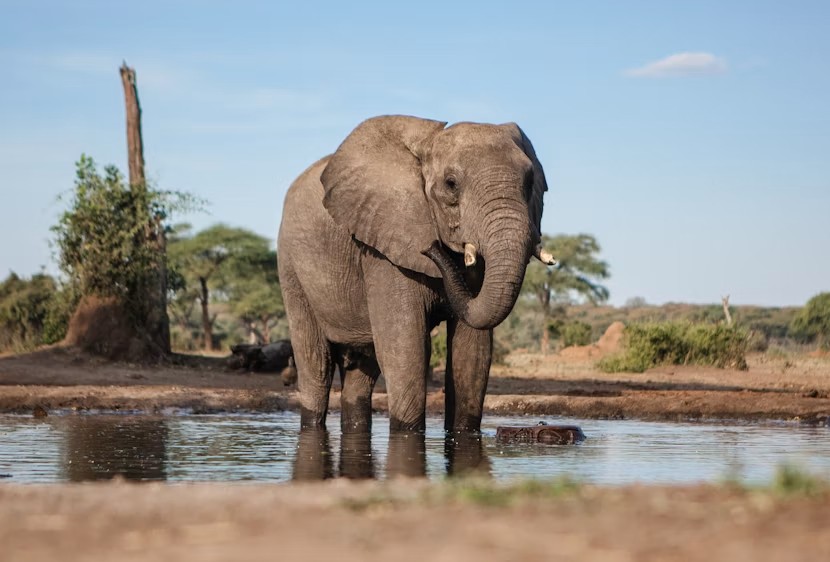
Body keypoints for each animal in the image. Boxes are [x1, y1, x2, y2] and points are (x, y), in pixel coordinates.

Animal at [278, 115, 550, 434]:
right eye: (451, 184)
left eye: (530, 182)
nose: (431, 247)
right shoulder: (384, 249)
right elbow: (406, 349)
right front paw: (407, 433)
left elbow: (472, 352)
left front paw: (462, 434)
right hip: (291, 266)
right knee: (316, 364)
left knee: (361, 369)